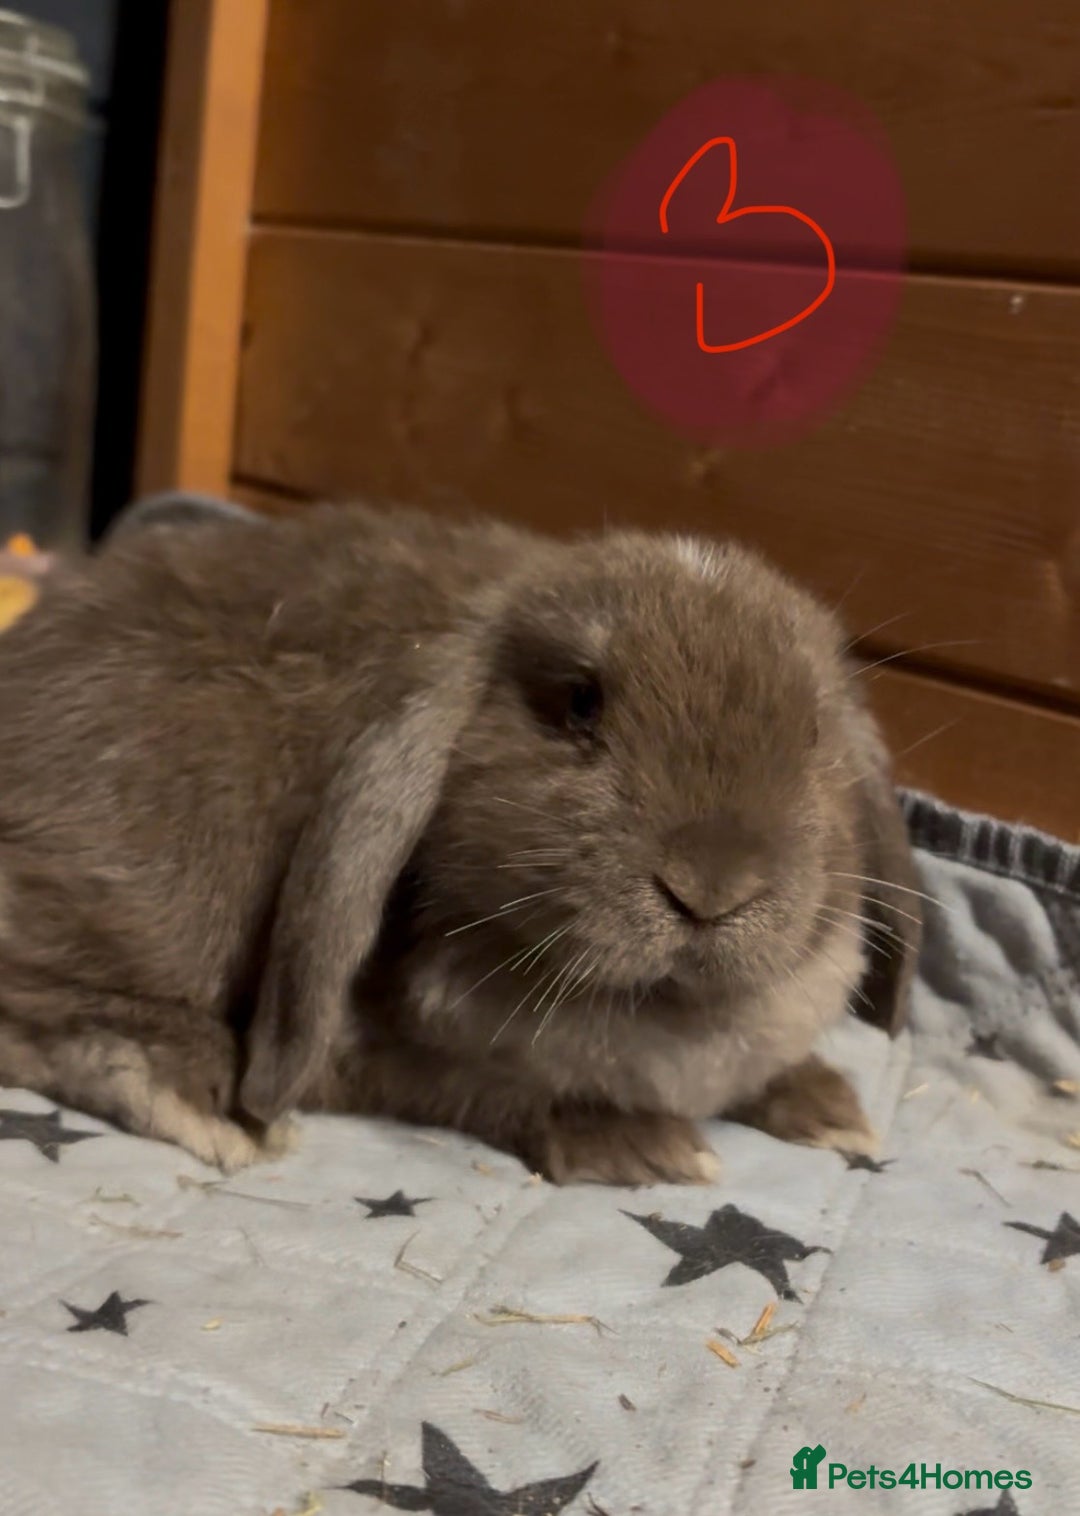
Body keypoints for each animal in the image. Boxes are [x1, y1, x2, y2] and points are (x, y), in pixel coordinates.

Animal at [0, 502, 921, 1183]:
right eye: (580, 703)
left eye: (813, 732)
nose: (711, 887)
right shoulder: (378, 1059)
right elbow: (490, 1090)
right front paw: (644, 1147)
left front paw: (828, 1109)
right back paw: (196, 1097)